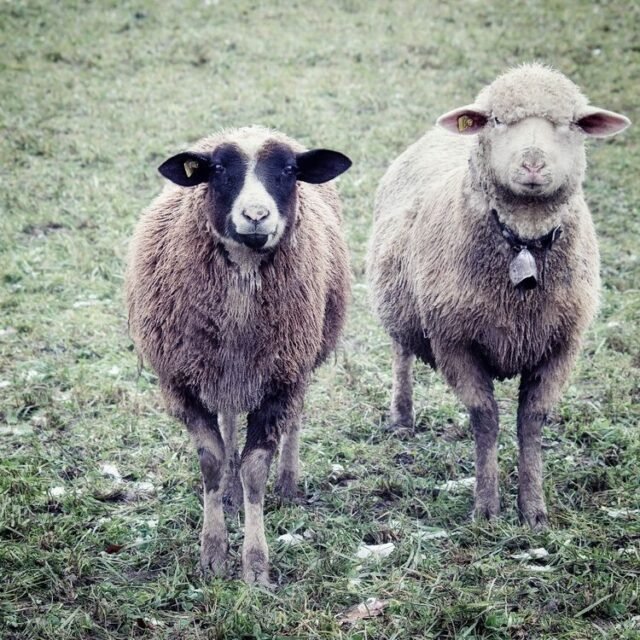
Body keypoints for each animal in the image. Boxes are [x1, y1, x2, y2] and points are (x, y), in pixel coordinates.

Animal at [125, 125, 352, 586]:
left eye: (289, 170)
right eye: (217, 170)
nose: (256, 216)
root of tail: (252, 127)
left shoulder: (281, 380)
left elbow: (255, 471)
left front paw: (255, 566)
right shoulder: (182, 383)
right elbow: (211, 463)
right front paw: (213, 554)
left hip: (297, 361)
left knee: (293, 420)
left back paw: (287, 482)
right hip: (223, 368)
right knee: (229, 417)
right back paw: (230, 491)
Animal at [367, 63, 630, 528]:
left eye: (571, 123)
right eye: (497, 120)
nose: (533, 161)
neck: (522, 241)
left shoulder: (560, 346)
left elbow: (532, 422)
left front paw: (533, 510)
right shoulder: (455, 343)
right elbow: (485, 419)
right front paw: (487, 507)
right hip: (401, 305)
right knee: (401, 352)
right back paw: (401, 416)